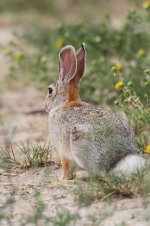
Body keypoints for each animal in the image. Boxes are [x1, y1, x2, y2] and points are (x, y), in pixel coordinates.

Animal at [45, 43, 146, 179]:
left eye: (50, 90)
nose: (45, 105)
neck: (63, 104)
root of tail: (116, 162)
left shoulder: (63, 151)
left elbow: (66, 167)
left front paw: (62, 178)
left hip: (80, 141)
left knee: (99, 173)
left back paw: (81, 174)